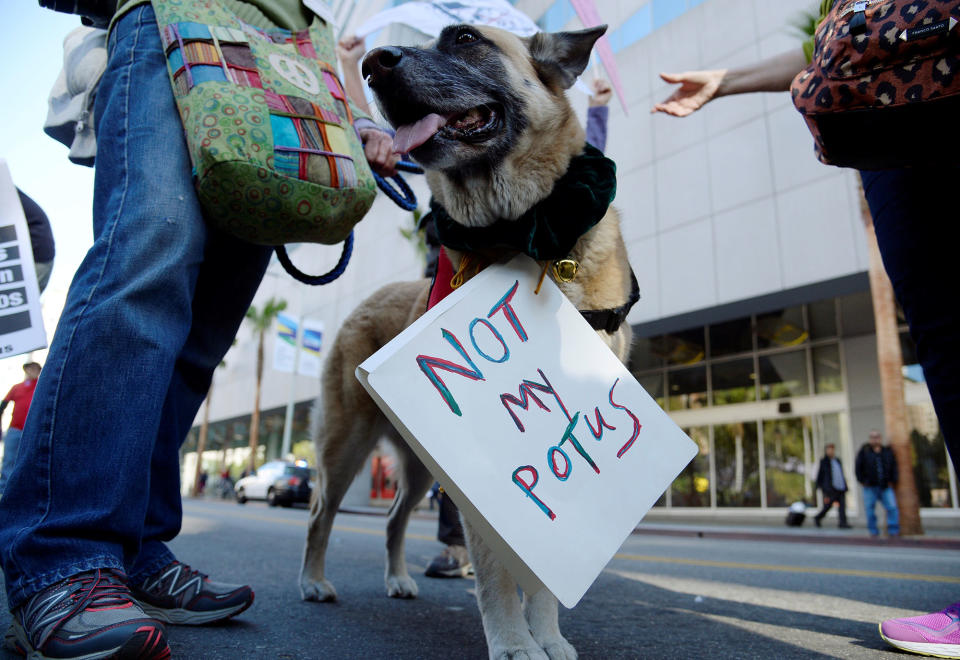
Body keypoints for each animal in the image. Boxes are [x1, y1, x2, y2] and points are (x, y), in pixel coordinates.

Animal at [296, 23, 632, 656]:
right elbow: (497, 574)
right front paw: (515, 643)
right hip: (344, 446)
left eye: (465, 37)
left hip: (418, 467)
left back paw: (398, 580)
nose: (373, 62)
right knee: (320, 513)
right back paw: (314, 582)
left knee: (393, 518)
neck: (523, 232)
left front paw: (547, 636)